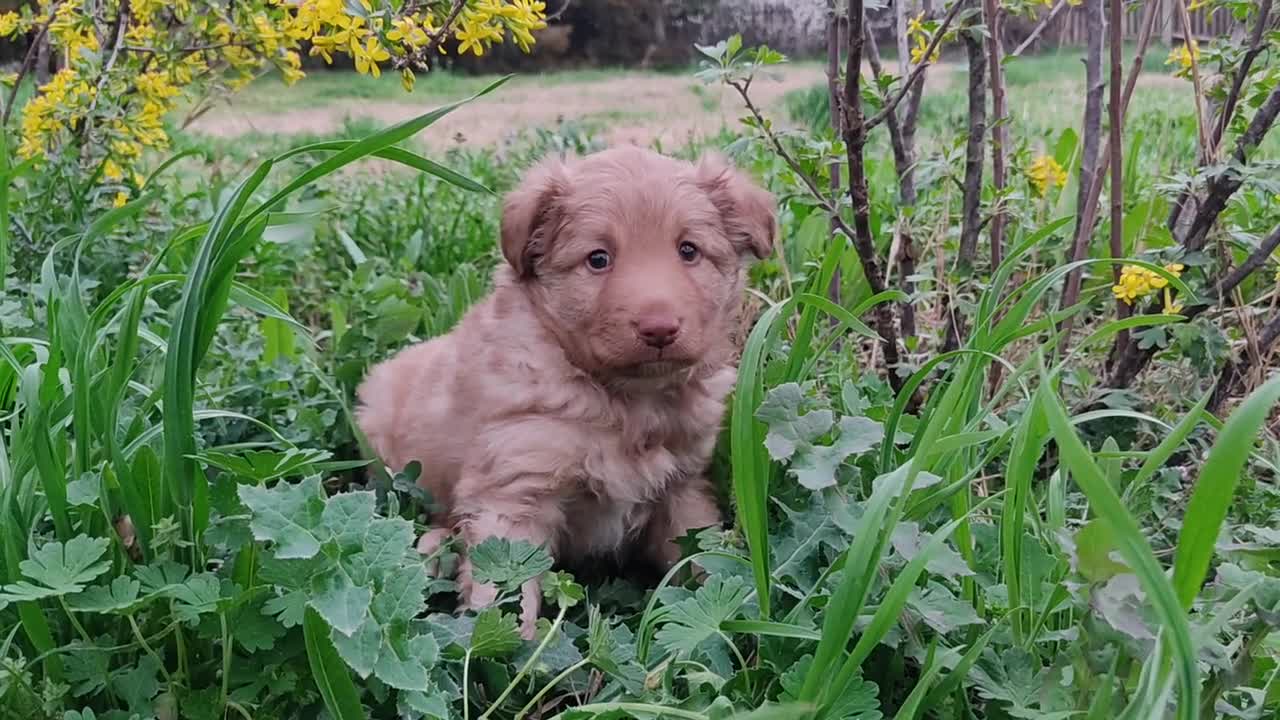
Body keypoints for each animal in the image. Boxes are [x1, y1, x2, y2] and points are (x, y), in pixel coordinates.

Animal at [355, 146, 773, 632]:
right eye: (598, 259)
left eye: (689, 251)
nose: (659, 329)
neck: (625, 399)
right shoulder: (513, 491)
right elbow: (505, 594)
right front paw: (506, 649)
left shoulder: (682, 487)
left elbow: (701, 555)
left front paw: (734, 615)